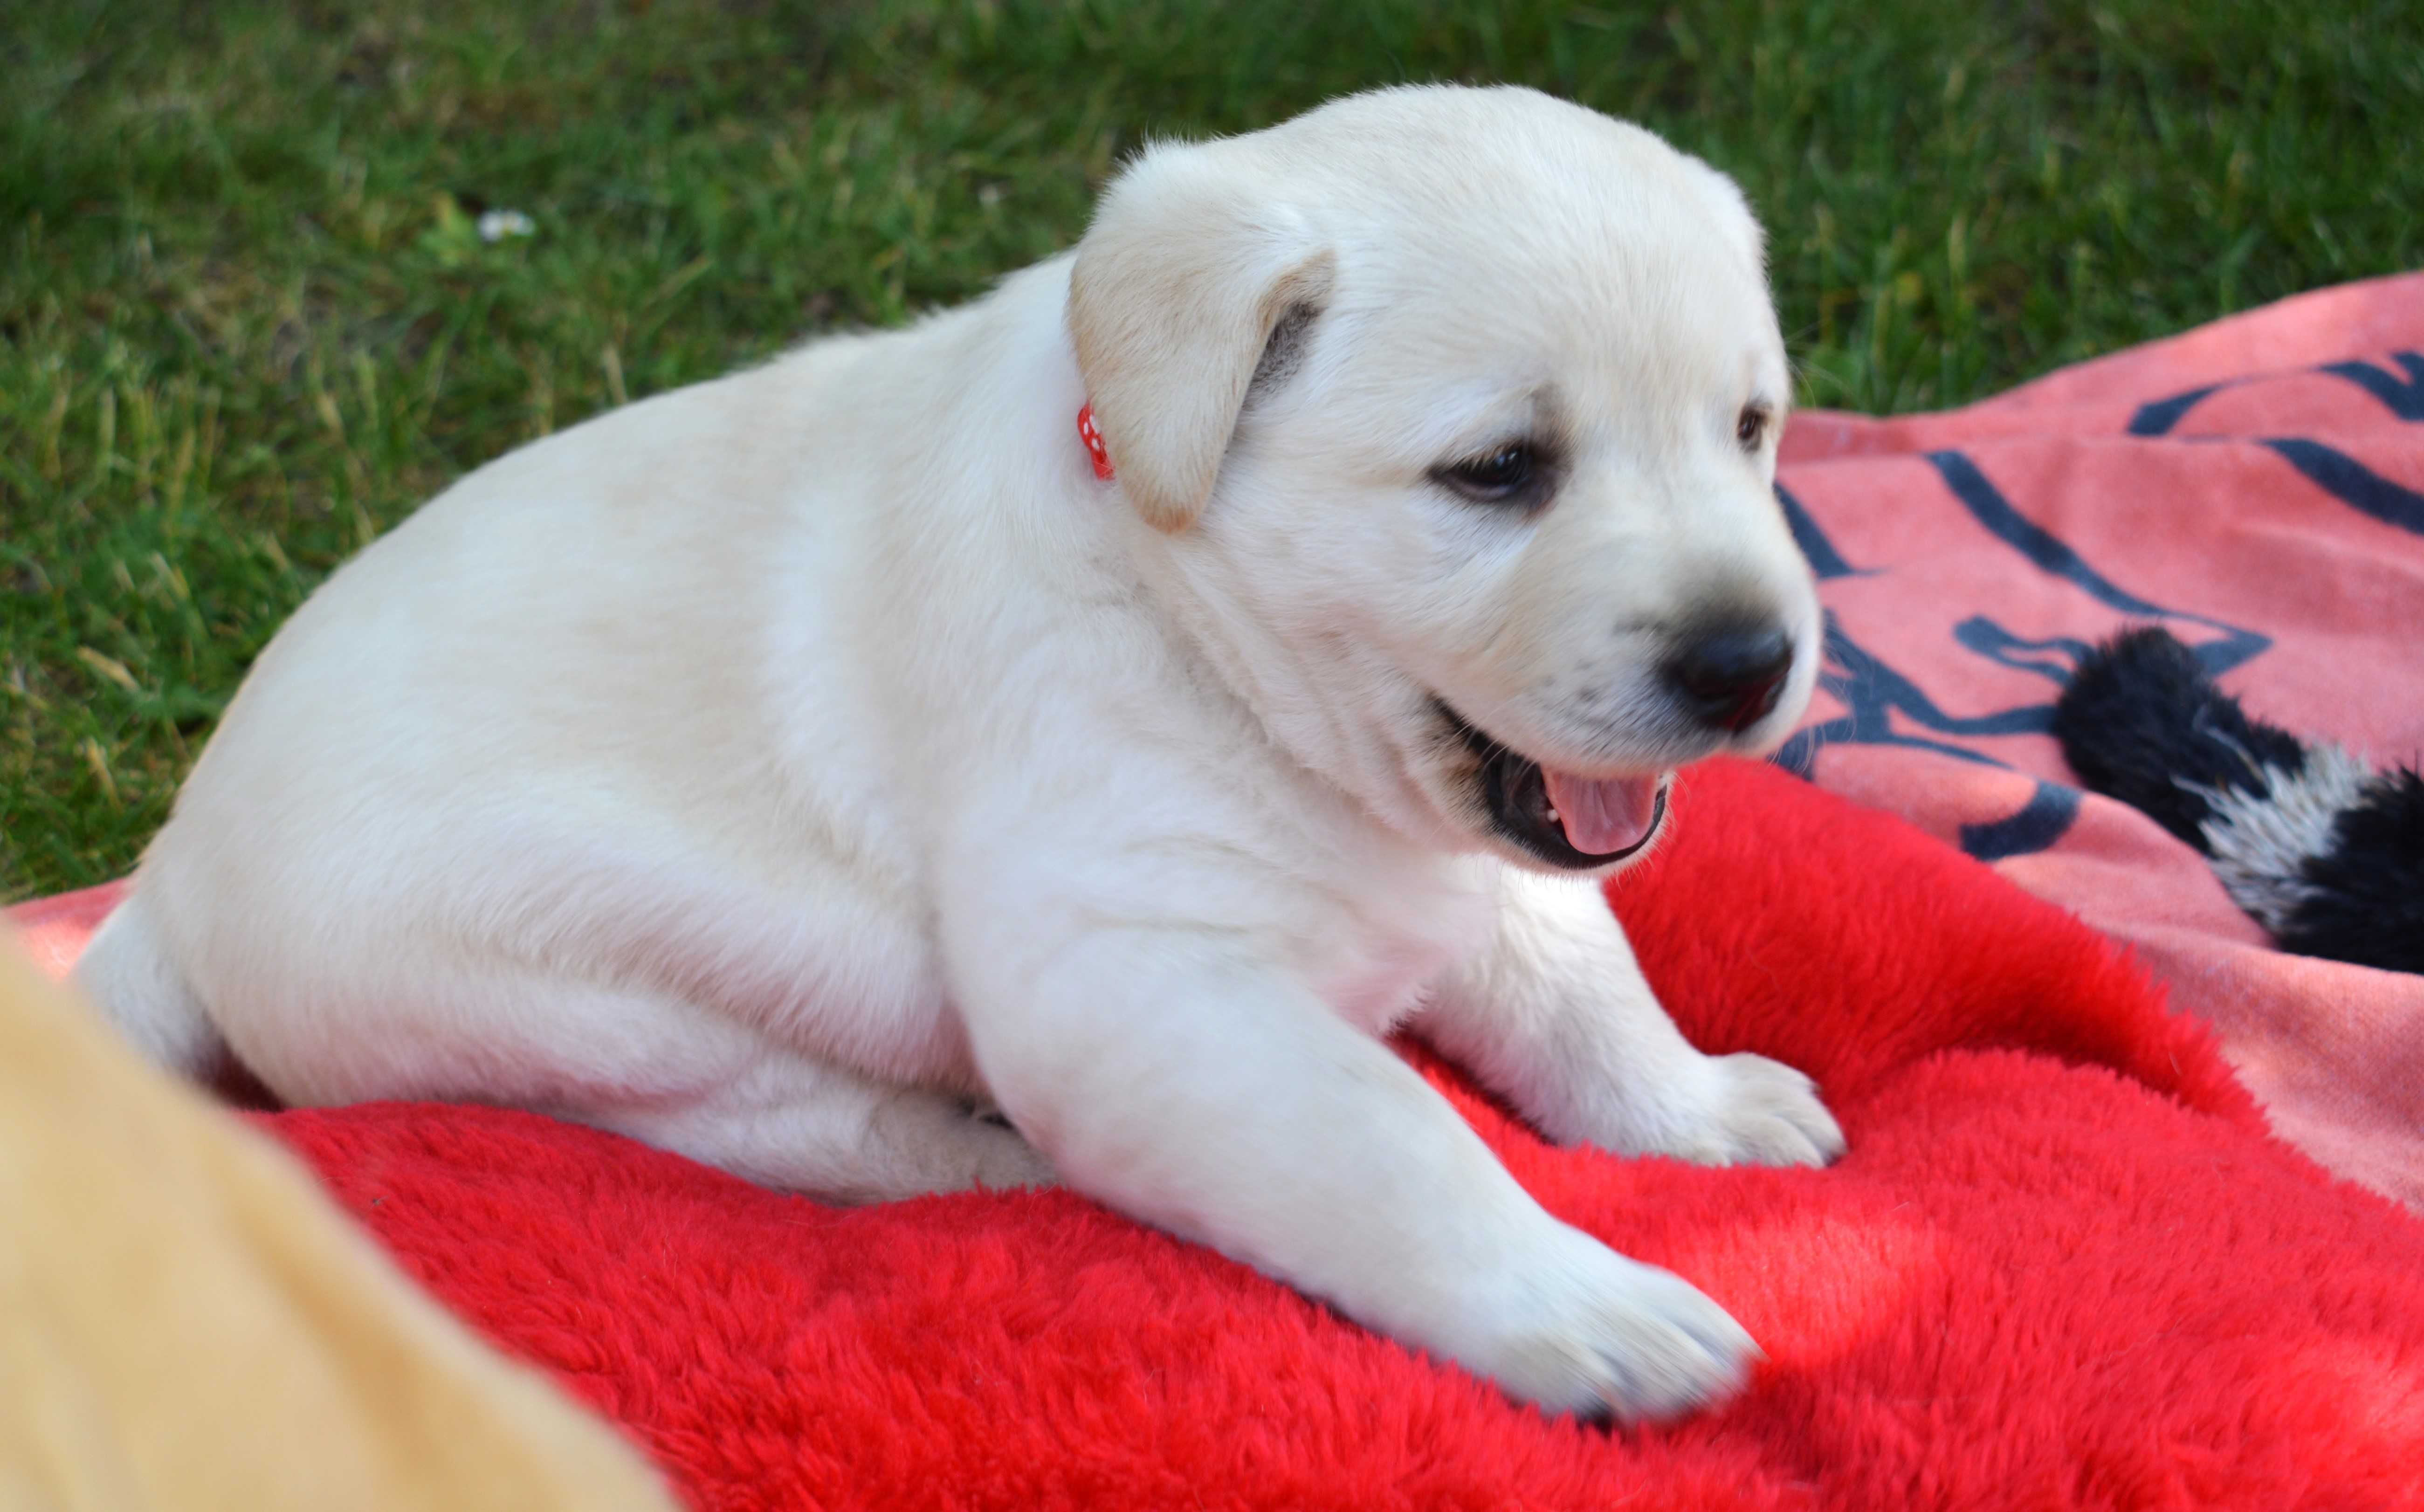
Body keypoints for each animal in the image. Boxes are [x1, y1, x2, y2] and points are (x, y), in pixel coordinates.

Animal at [85, 88, 1842, 1424]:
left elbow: (1574, 968)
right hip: (562, 995)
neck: (1193, 619)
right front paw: (1583, 1302)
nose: (1749, 662)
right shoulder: (1140, 978)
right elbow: (1395, 1138)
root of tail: (163, 869)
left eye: (1750, 428)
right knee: (768, 1126)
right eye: (1496, 470)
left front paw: (1689, 1107)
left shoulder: (1482, 859)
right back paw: (976, 1156)